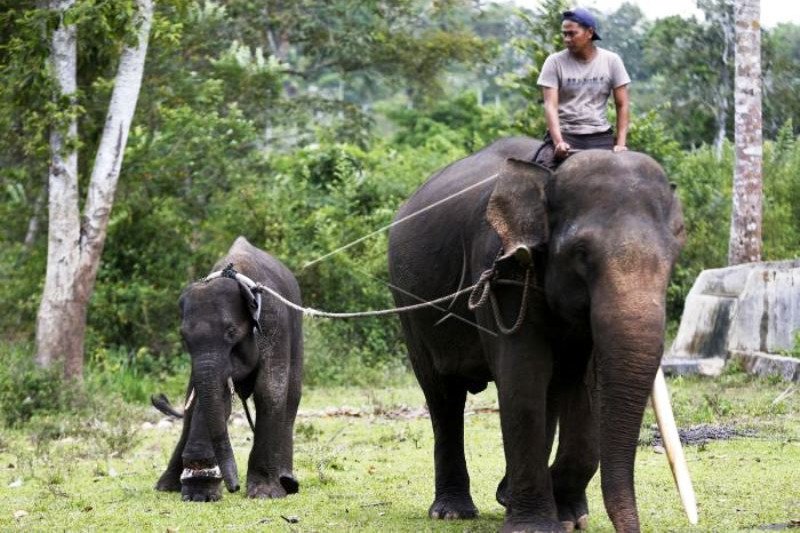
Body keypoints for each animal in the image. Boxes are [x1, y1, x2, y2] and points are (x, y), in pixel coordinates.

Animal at [154, 235, 304, 500]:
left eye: (231, 332)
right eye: (183, 338)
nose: (234, 486)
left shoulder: (275, 324)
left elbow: (269, 390)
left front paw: (265, 494)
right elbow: (211, 394)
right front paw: (199, 492)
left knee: (292, 395)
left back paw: (287, 482)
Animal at [386, 138, 680, 532]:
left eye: (673, 254)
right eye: (581, 253)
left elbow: (588, 383)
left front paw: (569, 517)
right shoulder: (502, 272)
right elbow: (523, 374)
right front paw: (536, 525)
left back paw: (507, 496)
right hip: (409, 305)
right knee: (442, 392)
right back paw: (452, 511)